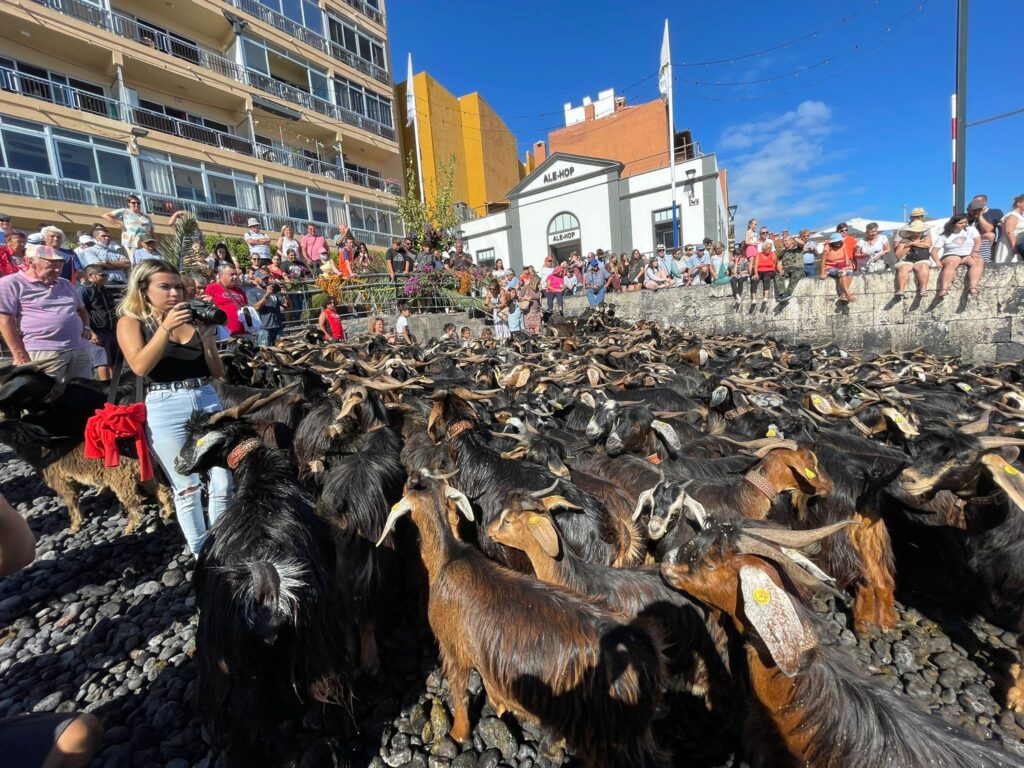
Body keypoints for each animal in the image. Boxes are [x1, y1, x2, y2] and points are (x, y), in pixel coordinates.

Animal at [376, 475, 671, 768]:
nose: (413, 478)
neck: (449, 558)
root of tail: (647, 658)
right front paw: (500, 706)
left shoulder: (452, 648)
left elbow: (459, 694)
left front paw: (458, 735)